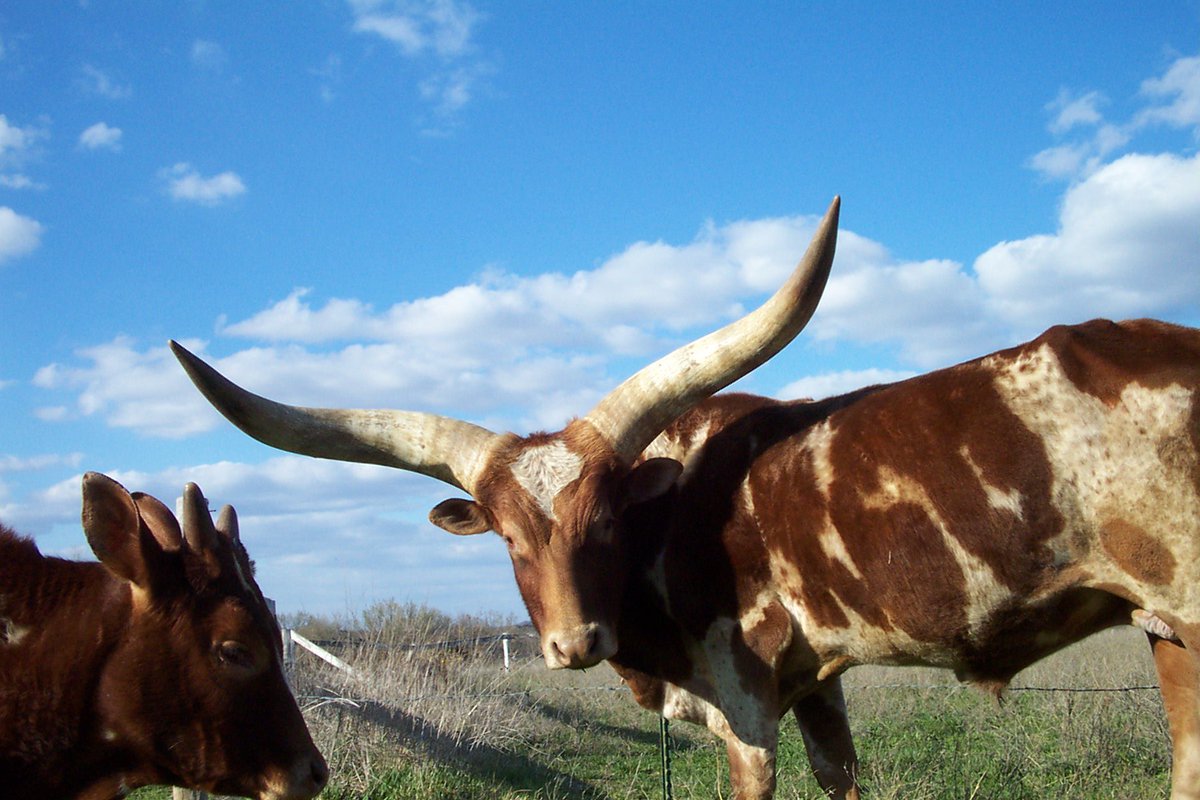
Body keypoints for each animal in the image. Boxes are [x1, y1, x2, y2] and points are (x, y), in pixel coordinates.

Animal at [170, 195, 1200, 799]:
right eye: (505, 536)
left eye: (608, 519)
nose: (573, 644)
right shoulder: (818, 688)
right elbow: (843, 777)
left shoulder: (743, 698)